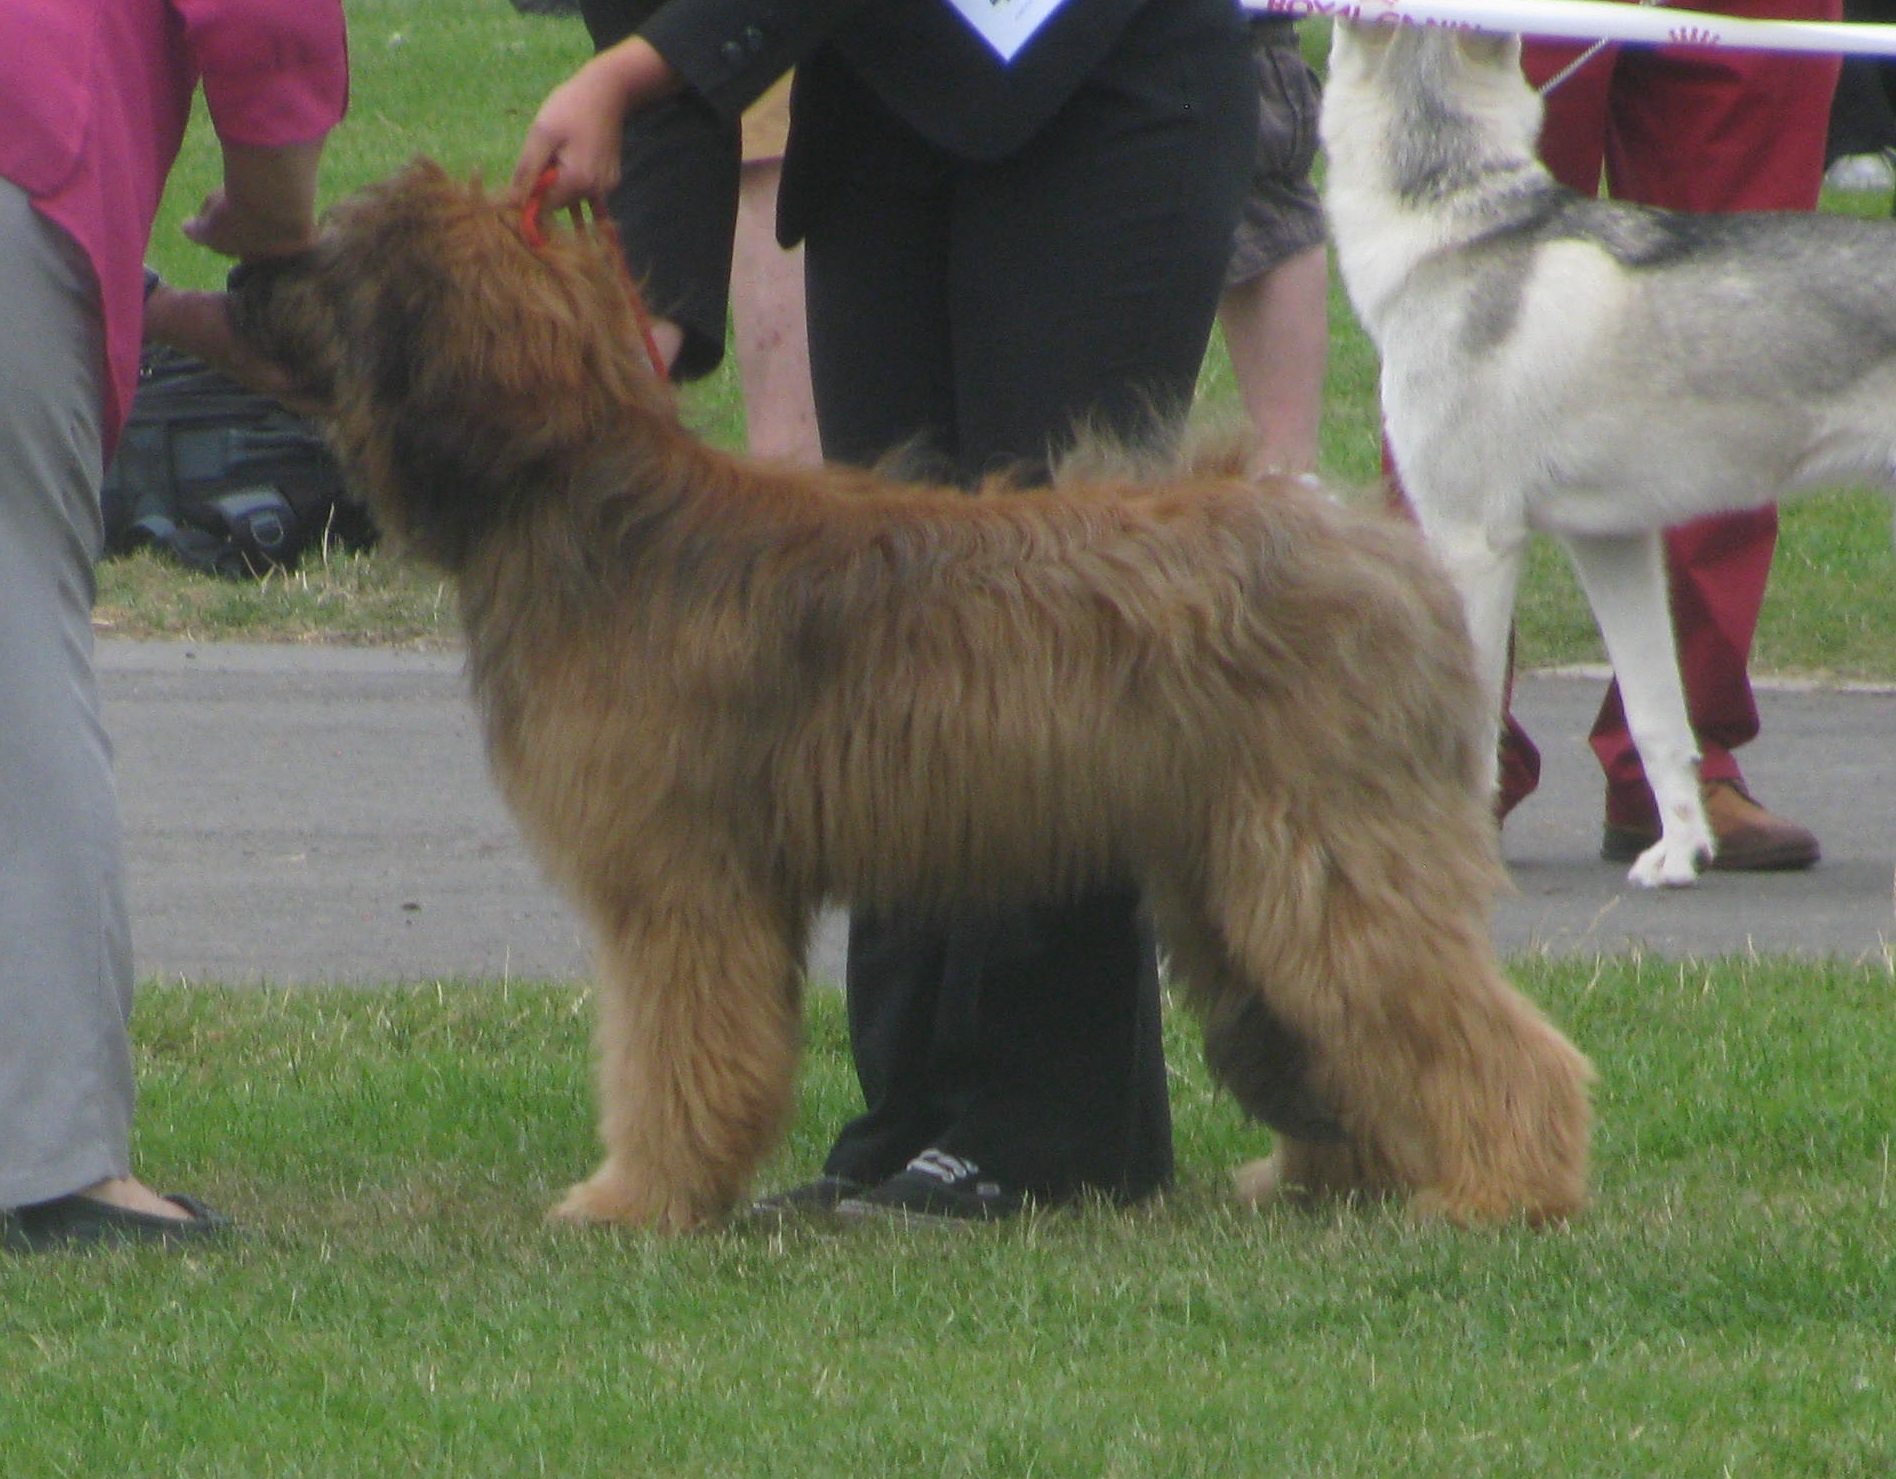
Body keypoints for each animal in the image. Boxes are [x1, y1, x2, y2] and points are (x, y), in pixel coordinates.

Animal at [237, 156, 1592, 1228]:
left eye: (340, 261)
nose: (240, 269)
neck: (579, 504)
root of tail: (1385, 553)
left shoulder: (680, 882)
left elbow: (674, 1048)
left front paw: (640, 1197)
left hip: (1321, 848)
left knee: (1461, 1021)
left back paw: (1507, 1186)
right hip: (1233, 867)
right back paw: (1333, 1176)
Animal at [1319, 23, 1896, 883]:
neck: (1462, 211)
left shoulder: (1472, 545)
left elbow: (1473, 731)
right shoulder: (1614, 544)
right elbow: (1659, 722)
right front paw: (1680, 853)